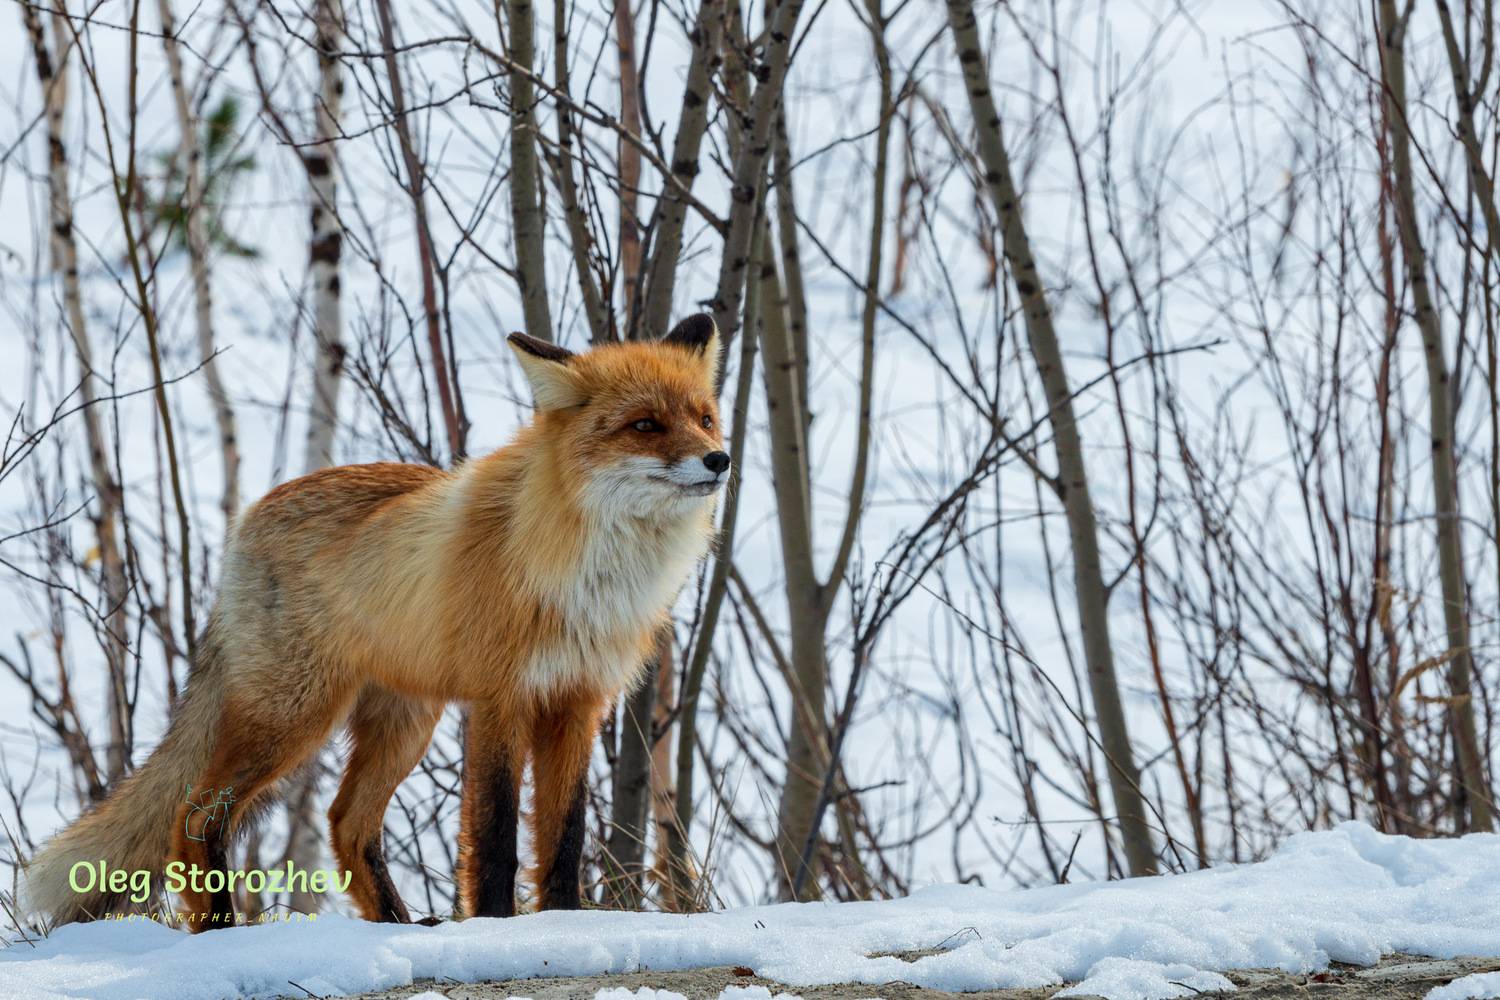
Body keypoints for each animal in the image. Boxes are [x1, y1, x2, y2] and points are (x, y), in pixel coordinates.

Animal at [23, 314, 730, 930]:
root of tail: (244, 524)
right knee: (196, 814)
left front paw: (564, 923)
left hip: (403, 723)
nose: (720, 459)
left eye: (704, 418)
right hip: (293, 716)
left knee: (346, 822)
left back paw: (398, 924)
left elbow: (564, 838)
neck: (587, 575)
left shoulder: (577, 702)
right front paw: (496, 927)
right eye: (645, 425)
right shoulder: (501, 698)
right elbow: (496, 836)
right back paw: (221, 930)